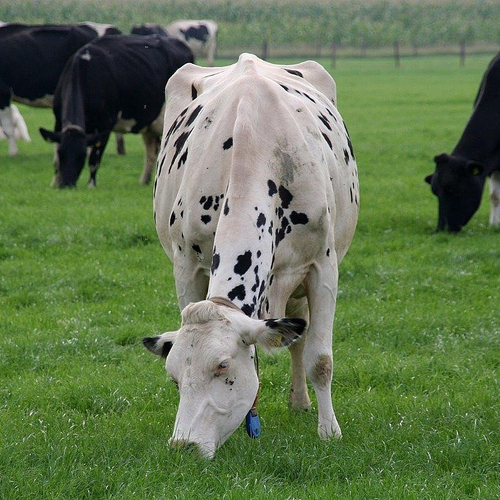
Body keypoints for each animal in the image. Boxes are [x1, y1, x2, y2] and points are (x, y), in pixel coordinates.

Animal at [39, 33, 193, 188]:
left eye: (82, 156)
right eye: (61, 153)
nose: (67, 184)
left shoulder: (105, 124)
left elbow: (95, 158)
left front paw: (91, 185)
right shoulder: (58, 121)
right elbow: (55, 158)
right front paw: (55, 182)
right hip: (150, 124)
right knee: (152, 151)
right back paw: (144, 181)